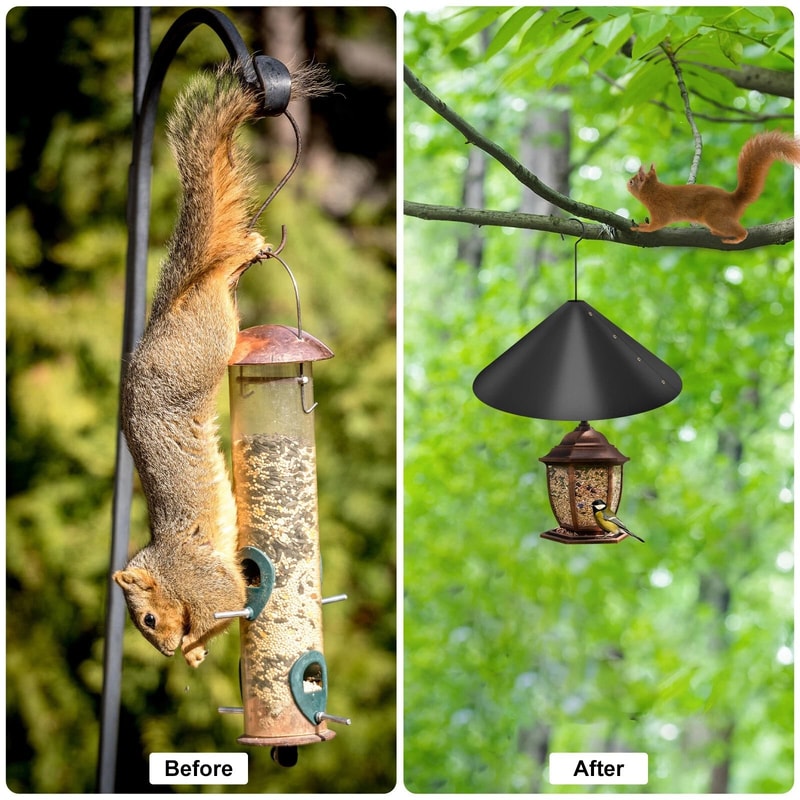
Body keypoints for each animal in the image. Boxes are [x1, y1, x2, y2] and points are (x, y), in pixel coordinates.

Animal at [113, 63, 331, 667]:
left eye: (146, 618)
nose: (165, 652)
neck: (168, 567)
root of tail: (164, 313)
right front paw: (192, 654)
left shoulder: (205, 582)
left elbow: (230, 603)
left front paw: (192, 646)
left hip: (204, 343)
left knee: (221, 272)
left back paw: (241, 252)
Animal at [626, 131, 800, 244]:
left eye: (632, 182)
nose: (627, 184)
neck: (654, 191)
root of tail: (733, 200)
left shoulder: (661, 209)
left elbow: (657, 224)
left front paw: (643, 227)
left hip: (715, 216)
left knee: (742, 232)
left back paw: (736, 238)